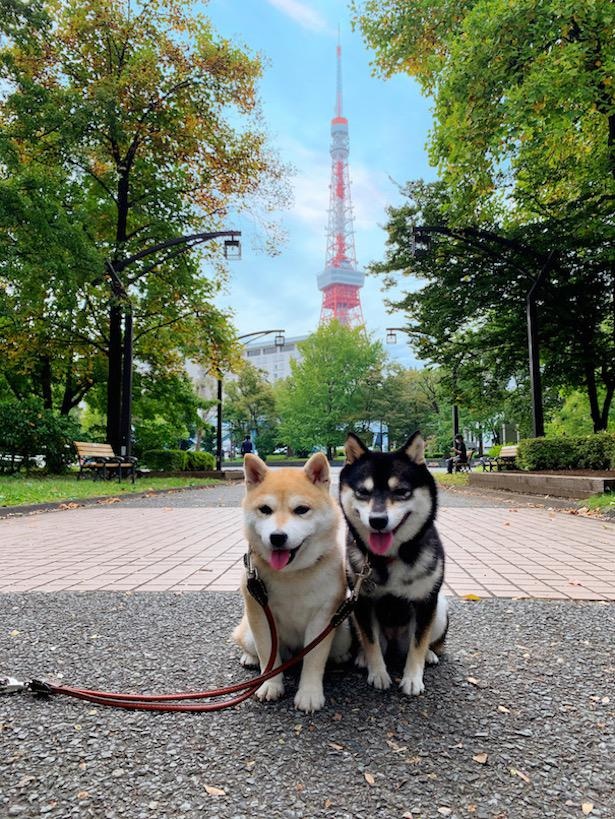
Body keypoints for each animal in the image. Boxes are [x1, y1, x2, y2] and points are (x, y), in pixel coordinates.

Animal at [233, 452, 352, 716]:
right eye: (265, 510)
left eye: (301, 510)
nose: (277, 537)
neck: (292, 574)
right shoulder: (260, 614)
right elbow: (268, 655)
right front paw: (270, 685)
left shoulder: (322, 618)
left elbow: (314, 660)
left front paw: (309, 695)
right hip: (248, 630)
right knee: (253, 647)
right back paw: (250, 658)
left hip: (343, 632)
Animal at [340, 432, 450, 696]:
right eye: (363, 491)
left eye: (401, 491)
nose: (378, 520)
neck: (388, 558)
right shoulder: (363, 602)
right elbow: (370, 642)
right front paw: (378, 673)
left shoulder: (426, 601)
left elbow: (418, 643)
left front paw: (412, 678)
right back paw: (363, 658)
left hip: (440, 608)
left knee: (425, 641)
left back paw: (429, 655)